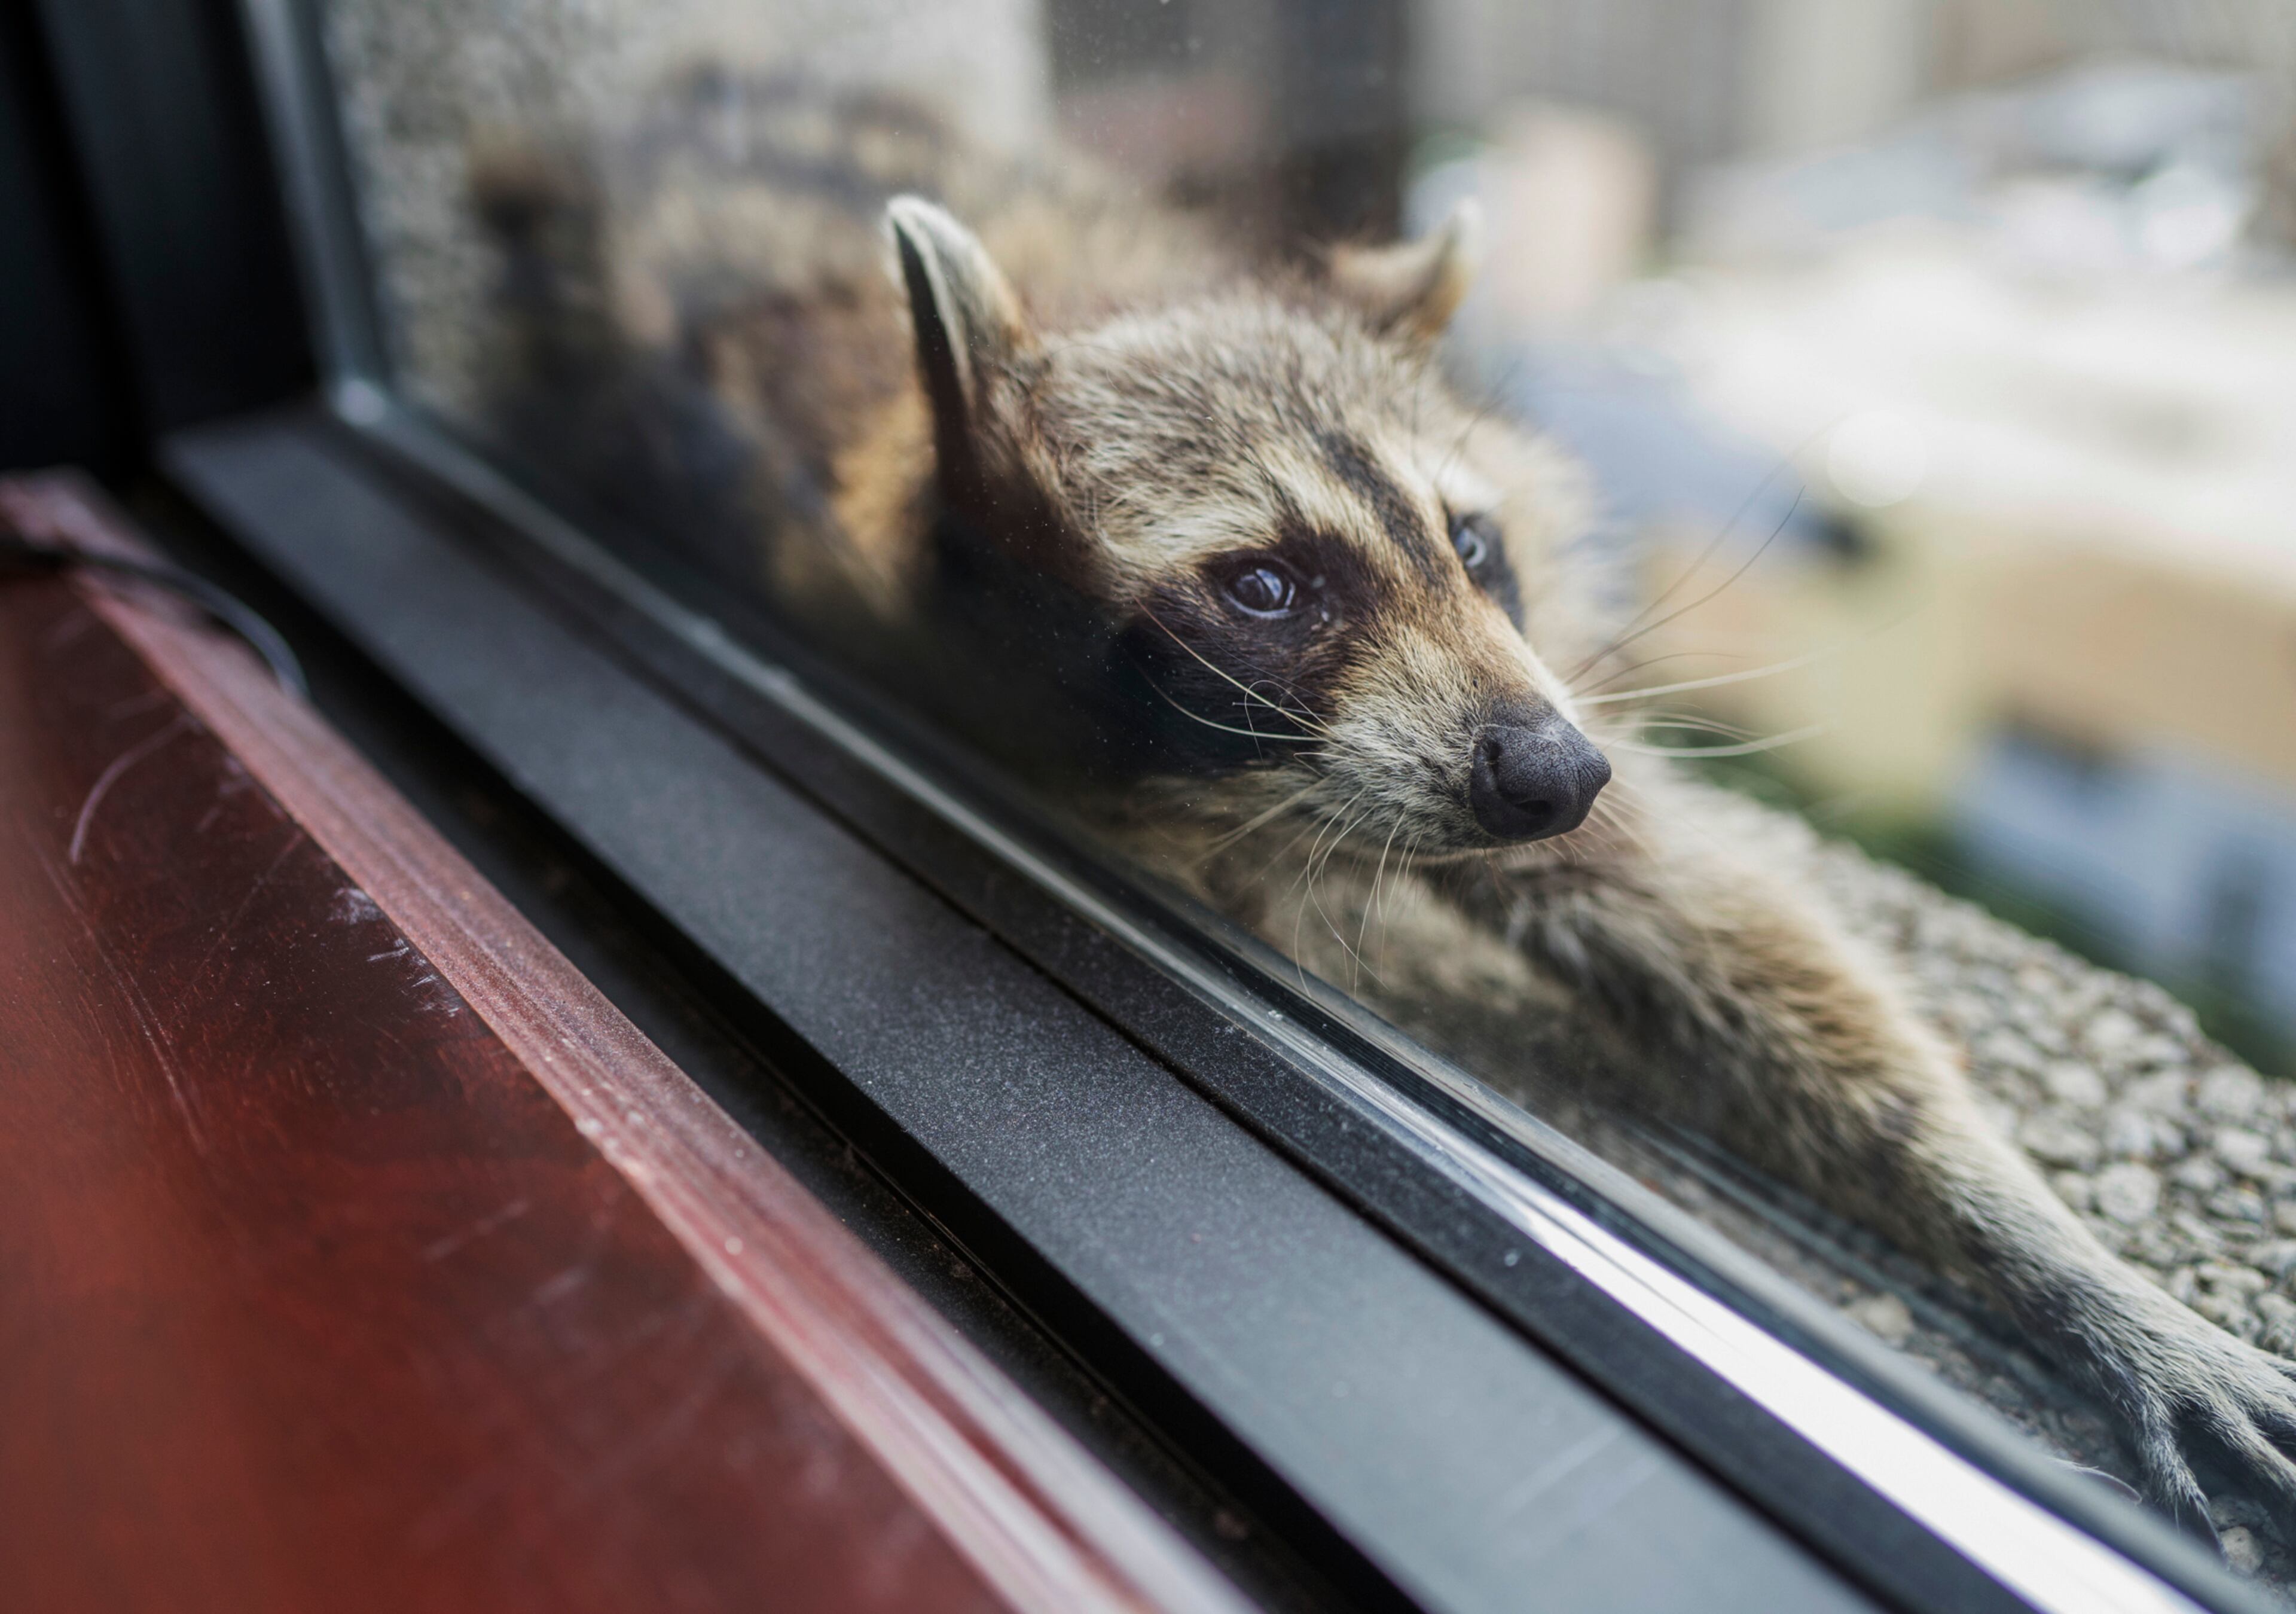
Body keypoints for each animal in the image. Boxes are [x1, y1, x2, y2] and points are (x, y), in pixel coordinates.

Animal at [473, 70, 2296, 1543]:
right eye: (1270, 585)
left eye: (1470, 543)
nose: (1557, 774)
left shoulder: (1519, 697)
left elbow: (1713, 921)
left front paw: (2048, 1245)